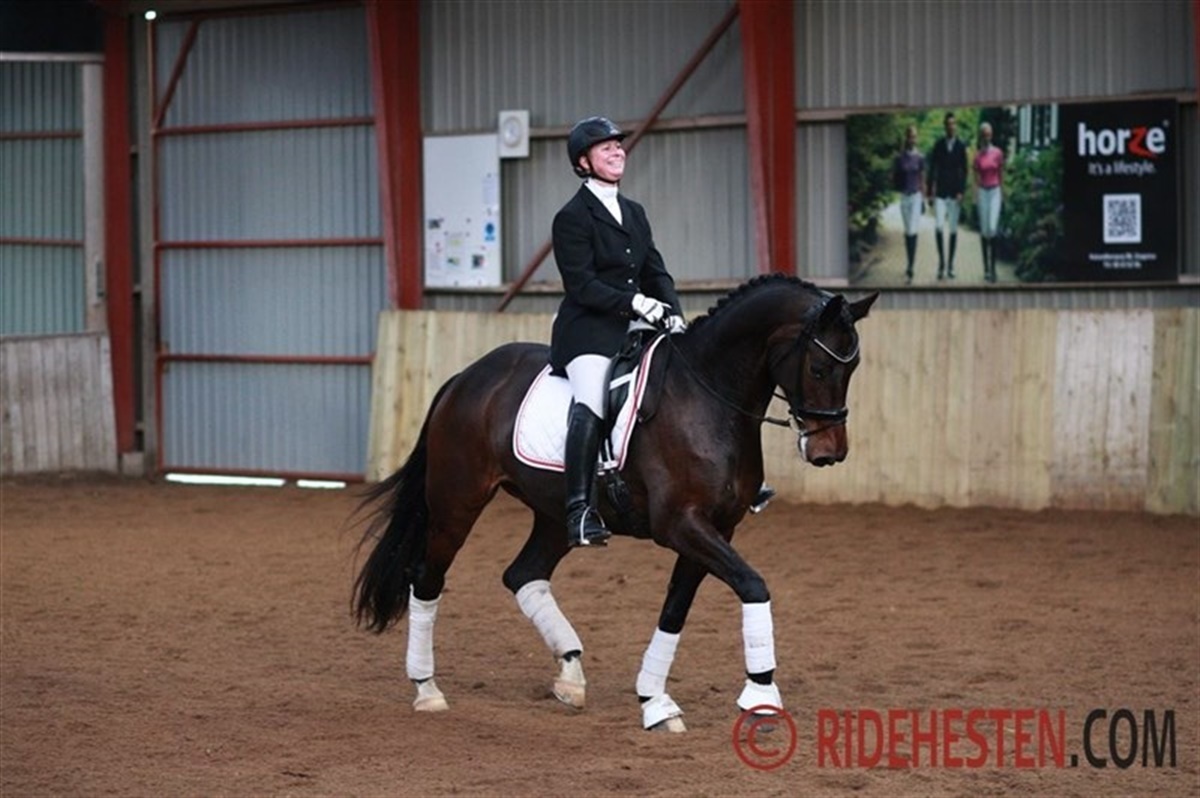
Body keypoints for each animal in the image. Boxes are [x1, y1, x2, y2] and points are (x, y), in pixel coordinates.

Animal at [353, 274, 877, 732]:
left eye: (853, 368)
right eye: (819, 367)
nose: (829, 452)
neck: (707, 397)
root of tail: (466, 378)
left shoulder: (716, 528)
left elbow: (675, 608)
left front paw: (655, 700)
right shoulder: (681, 525)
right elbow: (753, 585)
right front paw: (761, 696)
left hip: (554, 514)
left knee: (524, 574)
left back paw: (570, 677)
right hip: (456, 503)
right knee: (427, 579)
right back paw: (427, 688)